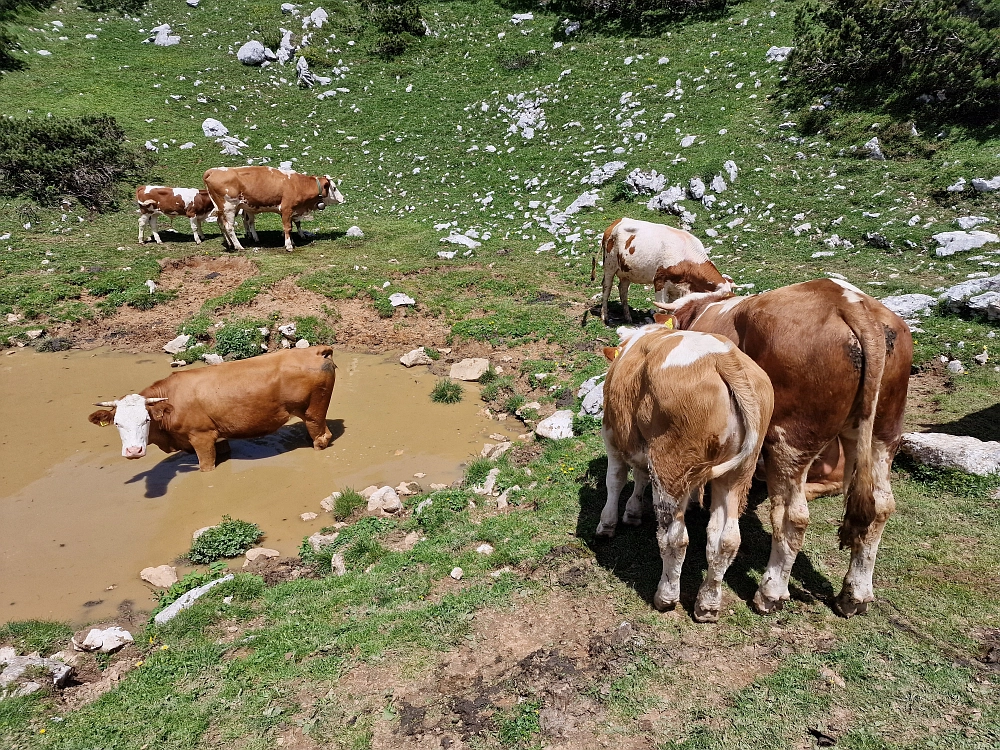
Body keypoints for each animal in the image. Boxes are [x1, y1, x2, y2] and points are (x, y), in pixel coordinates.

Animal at [87, 346, 336, 470]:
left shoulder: (202, 437)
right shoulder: (218, 437)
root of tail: (315, 350)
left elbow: (205, 468)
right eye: (117, 423)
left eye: (146, 420)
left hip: (314, 412)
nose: (133, 451)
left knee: (322, 436)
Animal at [592, 216, 736, 324]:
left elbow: (672, 308)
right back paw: (605, 316)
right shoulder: (660, 281)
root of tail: (617, 222)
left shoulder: (676, 288)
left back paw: (628, 318)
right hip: (609, 265)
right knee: (607, 288)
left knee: (623, 290)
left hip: (626, 272)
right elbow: (661, 309)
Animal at [592, 324, 772, 624]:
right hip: (737, 474)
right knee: (726, 540)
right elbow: (639, 477)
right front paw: (633, 512)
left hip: (671, 467)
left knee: (675, 539)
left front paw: (607, 524)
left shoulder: (612, 435)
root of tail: (723, 357)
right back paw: (707, 605)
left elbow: (615, 480)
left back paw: (665, 596)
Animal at [656, 280, 916, 620]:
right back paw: (855, 595)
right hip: (881, 434)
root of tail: (848, 301)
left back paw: (770, 592)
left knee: (792, 516)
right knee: (880, 507)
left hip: (790, 441)